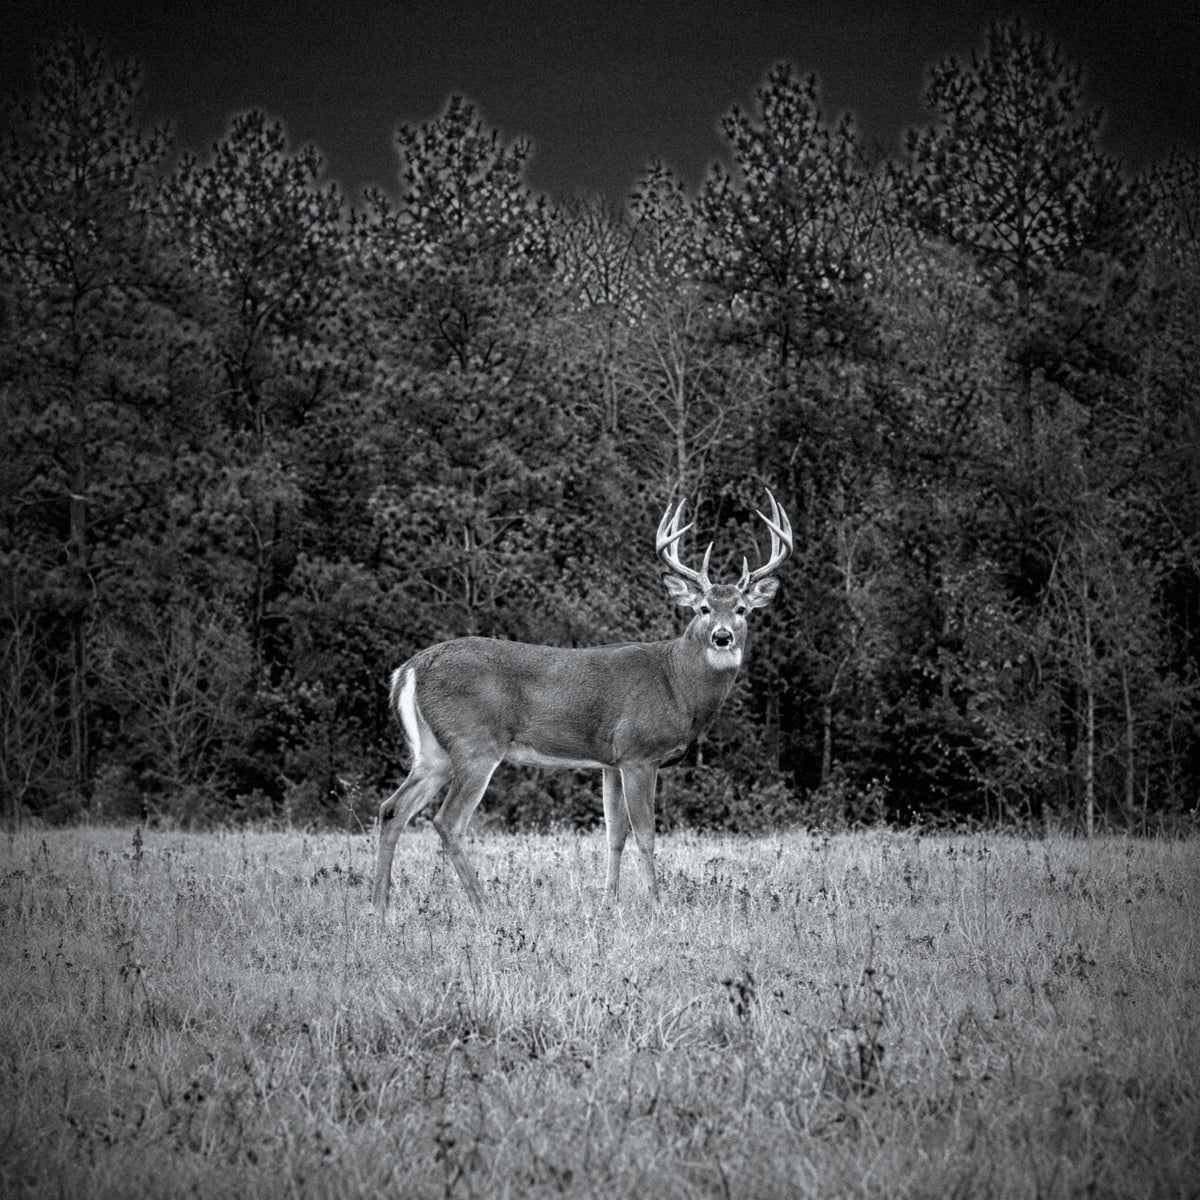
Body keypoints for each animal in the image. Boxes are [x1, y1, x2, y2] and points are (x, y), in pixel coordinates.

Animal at [372, 490, 792, 917]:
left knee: (392, 808)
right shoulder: (639, 754)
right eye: (703, 608)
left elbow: (614, 833)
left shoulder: (611, 761)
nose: (723, 637)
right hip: (475, 743)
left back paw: (380, 905)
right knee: (448, 821)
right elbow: (646, 834)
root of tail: (410, 668)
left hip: (433, 752)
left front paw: (610, 901)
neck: (676, 683)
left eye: (741, 609)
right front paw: (656, 904)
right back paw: (485, 907)